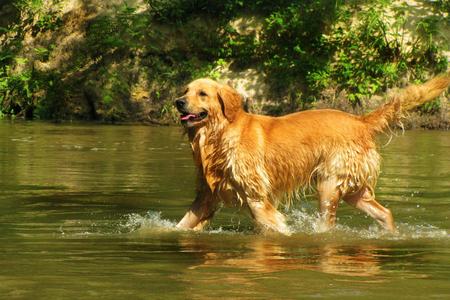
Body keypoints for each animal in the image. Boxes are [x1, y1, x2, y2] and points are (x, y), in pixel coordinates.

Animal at [175, 73, 450, 234]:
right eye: (185, 90)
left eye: (202, 93)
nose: (178, 102)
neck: (218, 135)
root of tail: (360, 121)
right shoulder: (207, 195)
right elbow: (182, 224)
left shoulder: (256, 197)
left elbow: (275, 225)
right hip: (354, 190)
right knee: (385, 213)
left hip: (329, 184)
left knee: (328, 225)